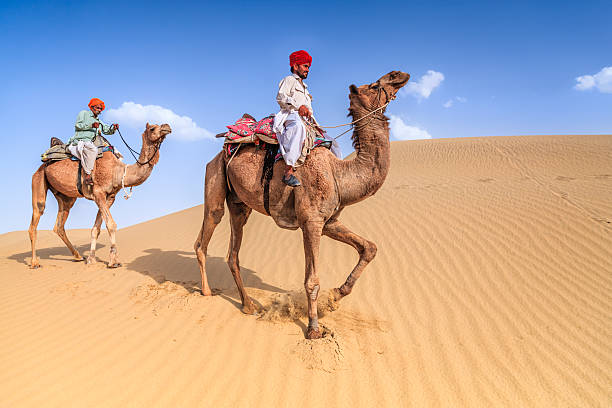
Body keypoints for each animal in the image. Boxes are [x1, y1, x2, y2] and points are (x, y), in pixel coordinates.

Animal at [29, 122, 172, 270]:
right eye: (153, 128)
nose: (167, 127)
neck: (119, 171)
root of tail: (42, 165)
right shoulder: (99, 193)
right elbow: (111, 224)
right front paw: (113, 261)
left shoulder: (109, 197)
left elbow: (96, 228)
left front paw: (91, 259)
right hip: (38, 180)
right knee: (37, 215)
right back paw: (34, 263)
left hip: (66, 197)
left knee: (59, 225)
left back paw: (78, 256)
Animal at [194, 70, 408, 338]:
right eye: (375, 85)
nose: (400, 75)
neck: (339, 175)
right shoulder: (311, 221)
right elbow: (312, 281)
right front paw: (314, 328)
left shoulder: (328, 222)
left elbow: (369, 248)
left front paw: (336, 295)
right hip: (215, 177)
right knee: (207, 230)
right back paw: (207, 291)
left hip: (240, 204)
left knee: (233, 254)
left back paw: (248, 305)